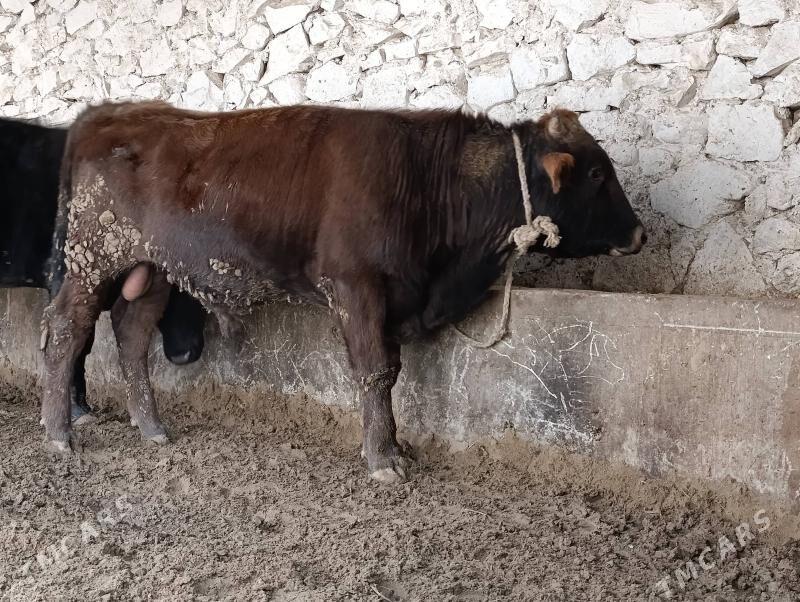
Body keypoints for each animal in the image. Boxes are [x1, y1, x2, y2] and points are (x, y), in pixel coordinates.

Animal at [40, 102, 645, 483]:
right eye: (596, 175)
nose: (640, 234)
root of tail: (114, 112)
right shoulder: (357, 287)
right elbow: (376, 371)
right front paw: (383, 459)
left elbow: (390, 370)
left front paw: (394, 447)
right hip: (91, 260)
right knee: (66, 330)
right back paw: (59, 433)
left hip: (151, 270)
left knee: (132, 336)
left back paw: (151, 429)